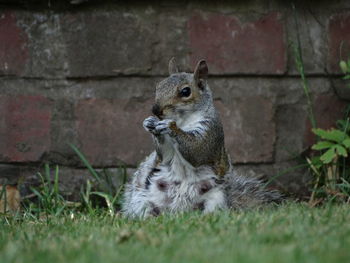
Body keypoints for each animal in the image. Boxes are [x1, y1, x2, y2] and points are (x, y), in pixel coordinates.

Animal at [121, 57, 280, 219]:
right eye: (158, 86)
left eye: (185, 91)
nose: (155, 110)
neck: (183, 120)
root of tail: (179, 212)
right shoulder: (165, 153)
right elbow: (164, 155)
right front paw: (149, 123)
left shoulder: (211, 130)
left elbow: (197, 151)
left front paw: (170, 126)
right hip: (143, 200)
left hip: (216, 199)